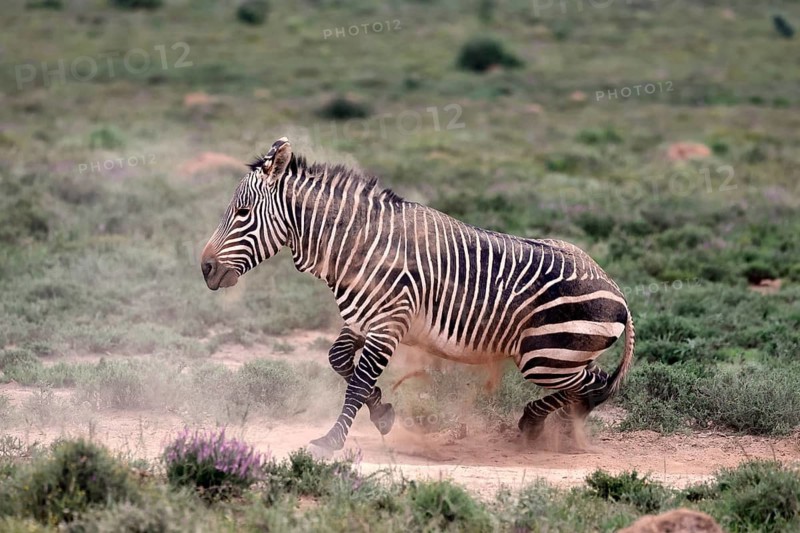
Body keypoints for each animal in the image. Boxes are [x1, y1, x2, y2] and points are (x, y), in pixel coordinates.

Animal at [200, 137, 635, 452]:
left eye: (242, 213)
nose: (205, 269)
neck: (358, 246)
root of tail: (619, 293)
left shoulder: (388, 323)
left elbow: (356, 383)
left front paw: (332, 441)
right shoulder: (362, 319)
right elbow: (340, 362)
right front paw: (382, 412)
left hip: (544, 355)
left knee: (593, 381)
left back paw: (543, 424)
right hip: (552, 356)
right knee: (591, 383)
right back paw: (547, 424)